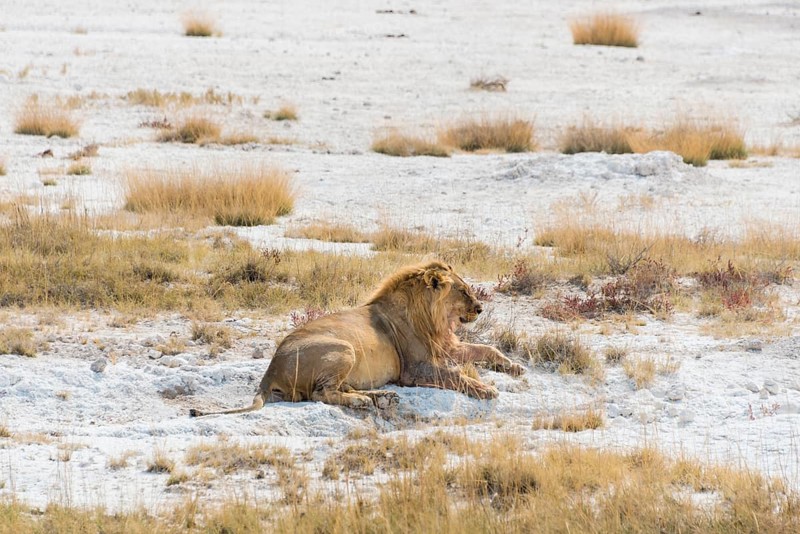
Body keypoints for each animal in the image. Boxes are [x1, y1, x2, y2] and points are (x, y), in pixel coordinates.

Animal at [190, 260, 524, 416]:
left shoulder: (445, 348)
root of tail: (270, 370)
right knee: (321, 394)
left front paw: (514, 366)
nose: (480, 308)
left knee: (339, 388)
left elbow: (486, 349)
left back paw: (380, 397)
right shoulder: (416, 369)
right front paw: (485, 389)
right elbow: (455, 376)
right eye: (464, 292)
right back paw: (364, 401)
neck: (435, 320)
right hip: (344, 347)